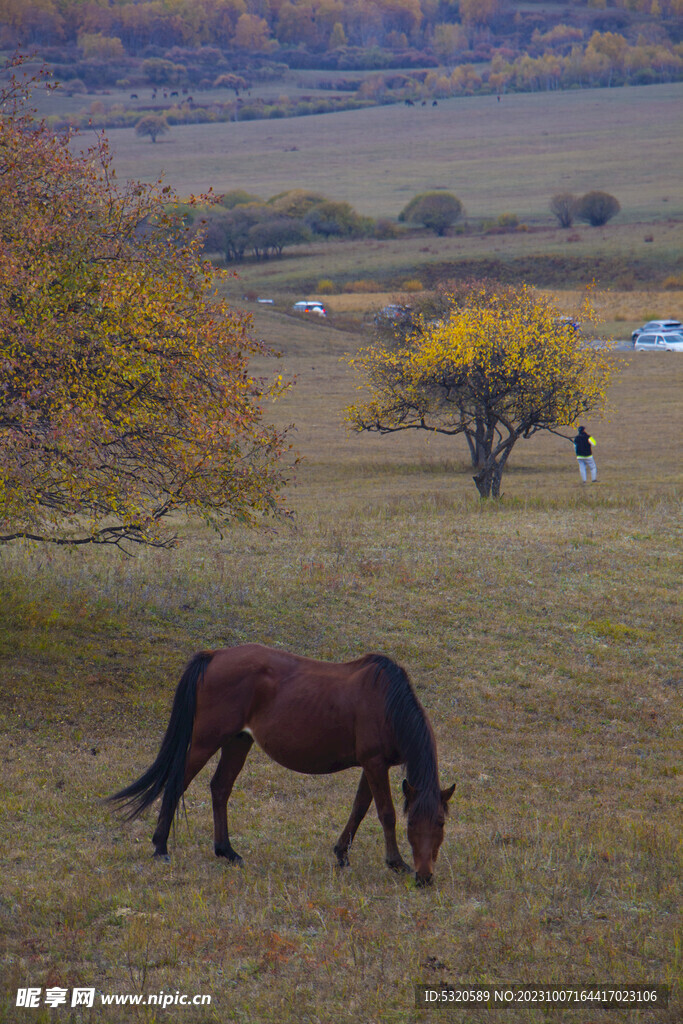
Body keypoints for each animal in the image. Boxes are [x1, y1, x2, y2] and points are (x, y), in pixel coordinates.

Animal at [109, 643, 454, 884]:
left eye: (440, 822)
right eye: (412, 825)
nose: (425, 877)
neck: (386, 702)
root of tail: (215, 654)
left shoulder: (372, 765)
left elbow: (359, 808)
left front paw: (342, 854)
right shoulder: (374, 763)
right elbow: (385, 813)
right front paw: (396, 862)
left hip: (238, 741)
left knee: (220, 788)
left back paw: (227, 851)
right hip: (208, 740)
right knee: (177, 783)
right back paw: (160, 848)